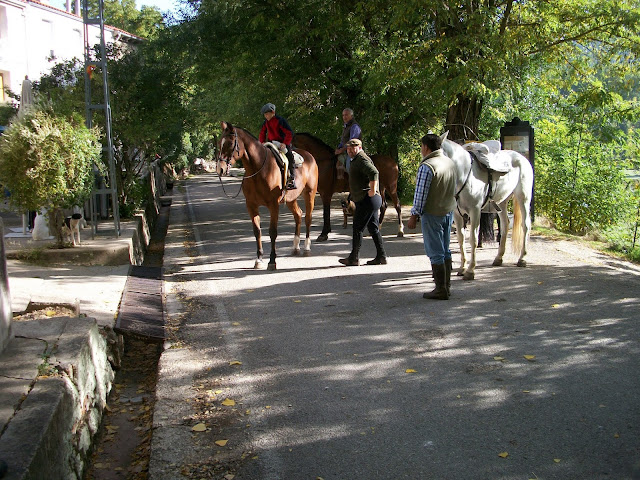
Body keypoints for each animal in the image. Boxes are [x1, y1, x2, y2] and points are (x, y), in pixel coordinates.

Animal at [218, 122, 318, 270]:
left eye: (230, 143)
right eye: (220, 142)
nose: (220, 169)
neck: (258, 169)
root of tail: (309, 156)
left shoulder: (273, 205)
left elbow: (272, 232)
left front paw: (272, 261)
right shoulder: (251, 205)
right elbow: (257, 231)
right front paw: (259, 259)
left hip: (309, 194)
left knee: (308, 219)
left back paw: (306, 248)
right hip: (291, 199)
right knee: (298, 215)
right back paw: (295, 247)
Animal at [440, 133, 536, 280]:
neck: (464, 174)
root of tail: (521, 158)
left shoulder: (475, 211)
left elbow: (473, 240)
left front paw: (470, 271)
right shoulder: (457, 214)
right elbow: (461, 240)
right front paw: (462, 267)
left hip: (523, 198)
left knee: (525, 225)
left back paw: (522, 259)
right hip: (502, 202)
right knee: (505, 224)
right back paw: (499, 258)